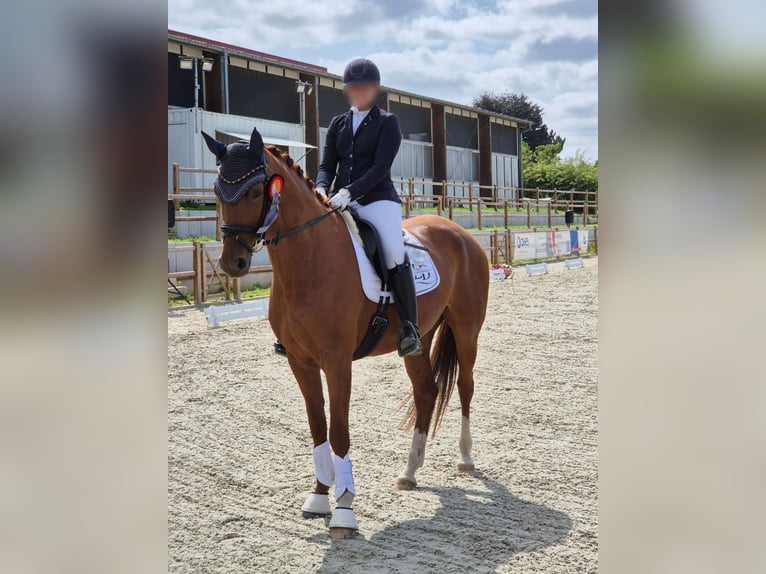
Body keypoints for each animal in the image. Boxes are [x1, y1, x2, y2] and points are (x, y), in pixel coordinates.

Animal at [203, 127, 489, 538]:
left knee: (465, 387)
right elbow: (317, 426)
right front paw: (320, 496)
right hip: (418, 341)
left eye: (256, 192)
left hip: (466, 329)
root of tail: (460, 233)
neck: (308, 261)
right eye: (216, 190)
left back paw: (465, 458)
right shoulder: (300, 361)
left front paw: (344, 508)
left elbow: (338, 429)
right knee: (426, 392)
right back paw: (409, 472)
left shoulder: (337, 361)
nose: (232, 263)